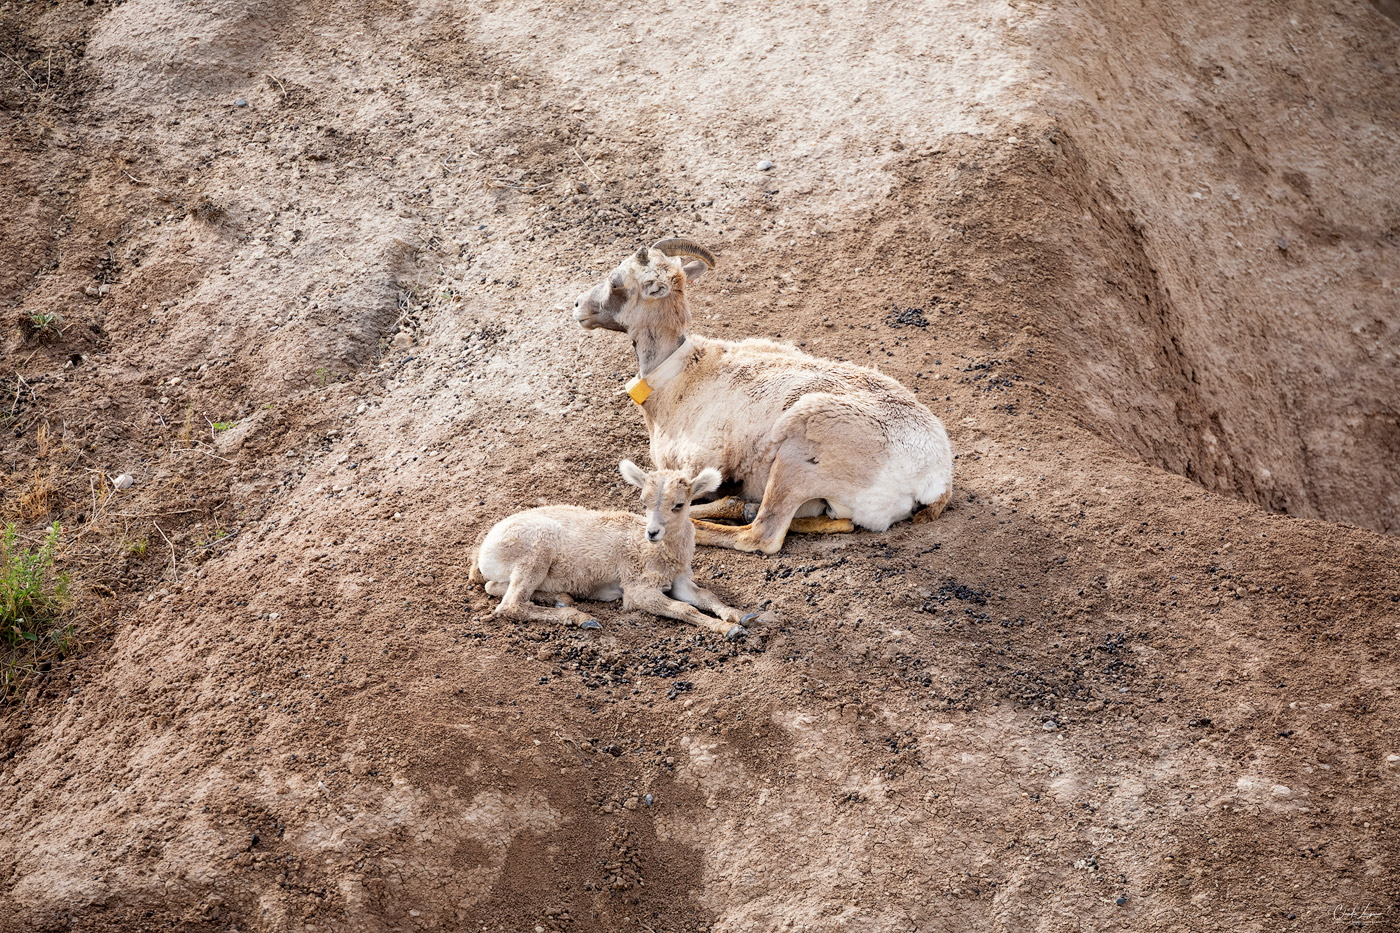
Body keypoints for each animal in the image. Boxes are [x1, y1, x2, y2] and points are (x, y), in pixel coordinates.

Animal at [470, 459, 756, 636]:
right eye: (643, 502)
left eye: (679, 505)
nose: (652, 532)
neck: (657, 553)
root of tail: (483, 553)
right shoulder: (637, 589)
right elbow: (682, 608)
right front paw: (728, 630)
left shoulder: (679, 581)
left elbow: (708, 596)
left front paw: (741, 615)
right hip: (536, 549)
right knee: (510, 605)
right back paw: (581, 617)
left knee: (494, 588)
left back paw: (562, 598)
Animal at [568, 239, 952, 551]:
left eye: (616, 282)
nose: (578, 306)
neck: (680, 379)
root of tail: (935, 478)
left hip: (795, 457)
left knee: (760, 535)